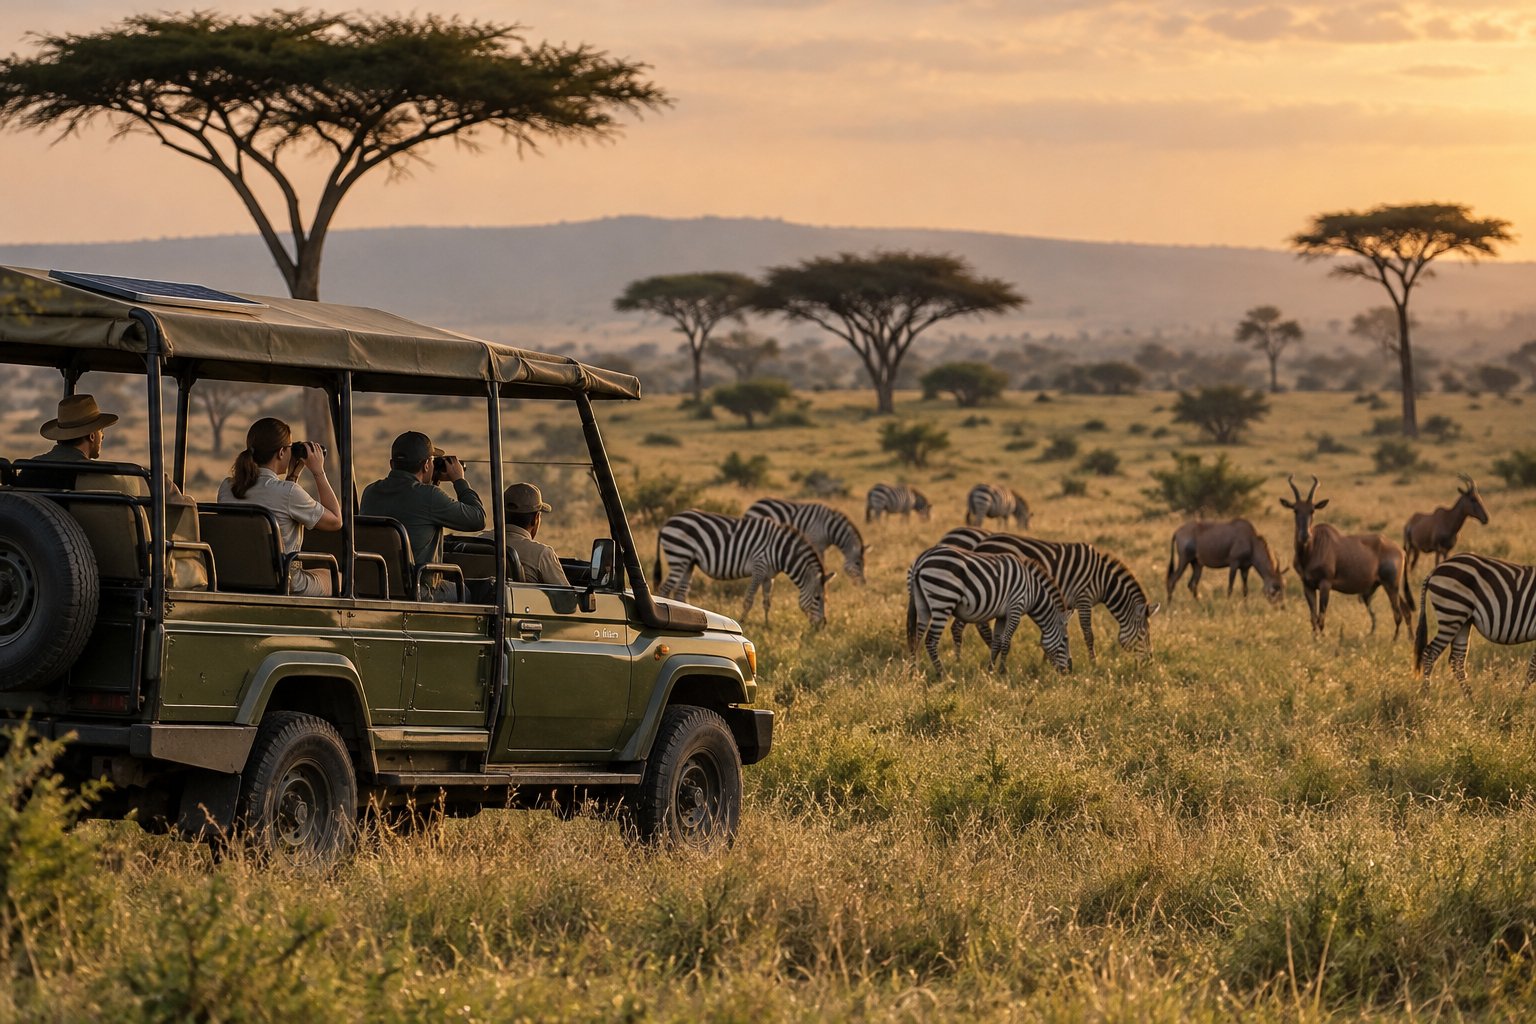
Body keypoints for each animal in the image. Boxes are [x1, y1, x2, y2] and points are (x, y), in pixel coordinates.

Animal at [654, 510, 834, 626]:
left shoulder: (769, 576)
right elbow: (749, 600)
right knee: (664, 590)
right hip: (679, 555)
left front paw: (766, 625)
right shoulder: (759, 567)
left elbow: (767, 602)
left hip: (688, 562)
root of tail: (667, 521)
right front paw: (741, 623)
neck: (780, 551)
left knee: (680, 594)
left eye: (826, 599)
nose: (822, 626)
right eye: (818, 598)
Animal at [906, 545, 1071, 674]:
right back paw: (943, 675)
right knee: (930, 640)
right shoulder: (1015, 608)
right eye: (1065, 639)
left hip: (923, 604)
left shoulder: (1002, 615)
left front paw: (990, 670)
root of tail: (921, 559)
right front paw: (1003, 672)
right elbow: (1006, 642)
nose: (1070, 670)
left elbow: (997, 642)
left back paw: (916, 672)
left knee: (916, 638)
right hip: (943, 600)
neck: (1032, 590)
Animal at [972, 534, 1157, 660]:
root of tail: (981, 544)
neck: (1103, 581)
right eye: (1143, 635)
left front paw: (1046, 661)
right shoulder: (1084, 598)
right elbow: (1088, 633)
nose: (1149, 662)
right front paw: (1094, 664)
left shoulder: (1068, 603)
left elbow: (1058, 627)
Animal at [1415, 553, 1536, 689]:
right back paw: (1426, 693)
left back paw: (1470, 695)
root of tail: (1436, 568)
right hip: (1452, 613)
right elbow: (1533, 670)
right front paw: (1522, 694)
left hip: (1463, 620)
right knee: (1430, 653)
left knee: (1457, 660)